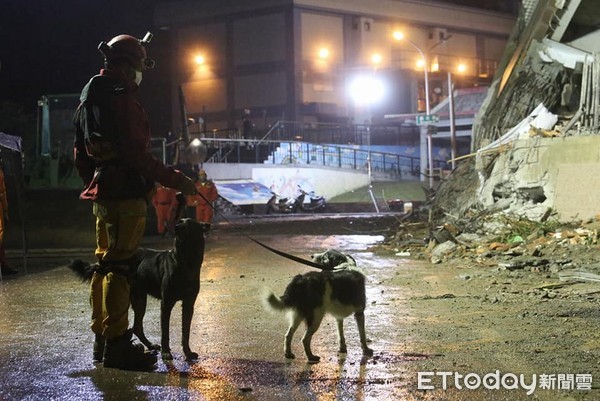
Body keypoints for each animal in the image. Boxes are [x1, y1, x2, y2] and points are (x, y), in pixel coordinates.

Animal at [69, 217, 206, 360]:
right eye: (179, 221)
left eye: (189, 223)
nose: (176, 227)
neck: (186, 260)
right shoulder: (166, 303)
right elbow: (165, 333)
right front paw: (166, 352)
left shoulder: (189, 304)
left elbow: (186, 332)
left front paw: (188, 352)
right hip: (135, 298)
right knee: (129, 324)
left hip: (139, 299)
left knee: (137, 327)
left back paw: (148, 345)